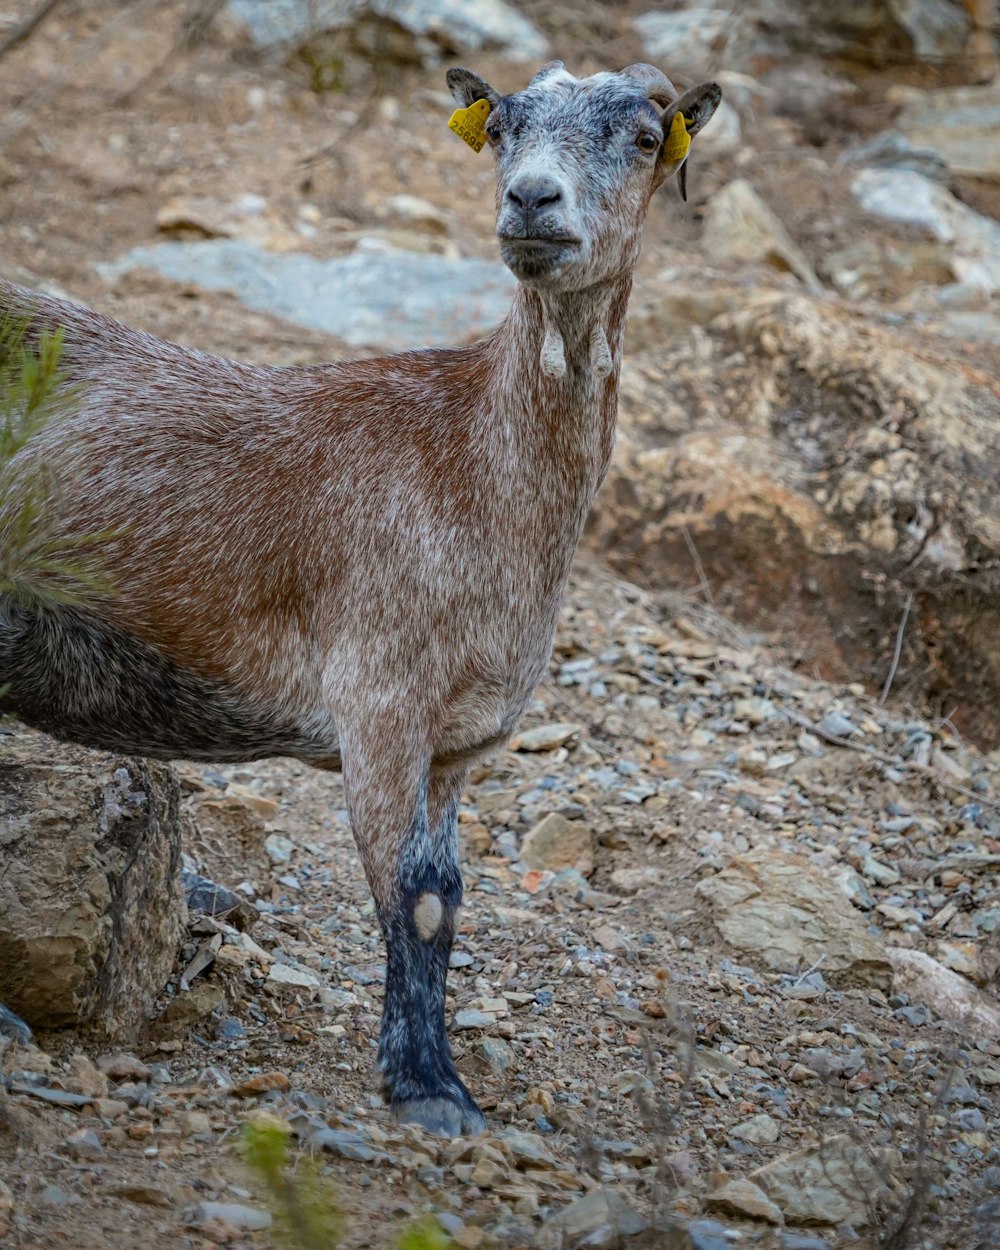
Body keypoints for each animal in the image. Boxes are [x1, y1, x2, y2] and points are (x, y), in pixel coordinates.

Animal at [0, 60, 720, 1135]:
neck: (471, 468)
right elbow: (411, 895)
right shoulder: (380, 698)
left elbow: (448, 895)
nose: (532, 202)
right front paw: (428, 1088)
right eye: (500, 127)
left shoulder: (457, 748)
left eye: (643, 137)